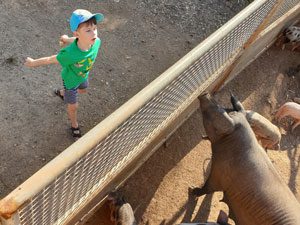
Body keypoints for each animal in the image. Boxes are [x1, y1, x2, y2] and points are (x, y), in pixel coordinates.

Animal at [191, 92, 300, 224]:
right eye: (225, 108)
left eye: (220, 110)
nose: (204, 93)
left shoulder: (219, 174)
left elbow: (207, 187)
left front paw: (192, 190)